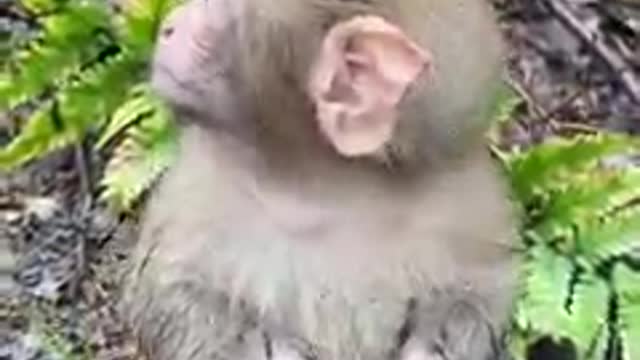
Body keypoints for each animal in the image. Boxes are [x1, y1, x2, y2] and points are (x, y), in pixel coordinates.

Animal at [121, 0, 520, 358]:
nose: (168, 26)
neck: (323, 184)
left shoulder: (461, 202)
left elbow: (479, 295)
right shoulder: (205, 187)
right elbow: (177, 297)